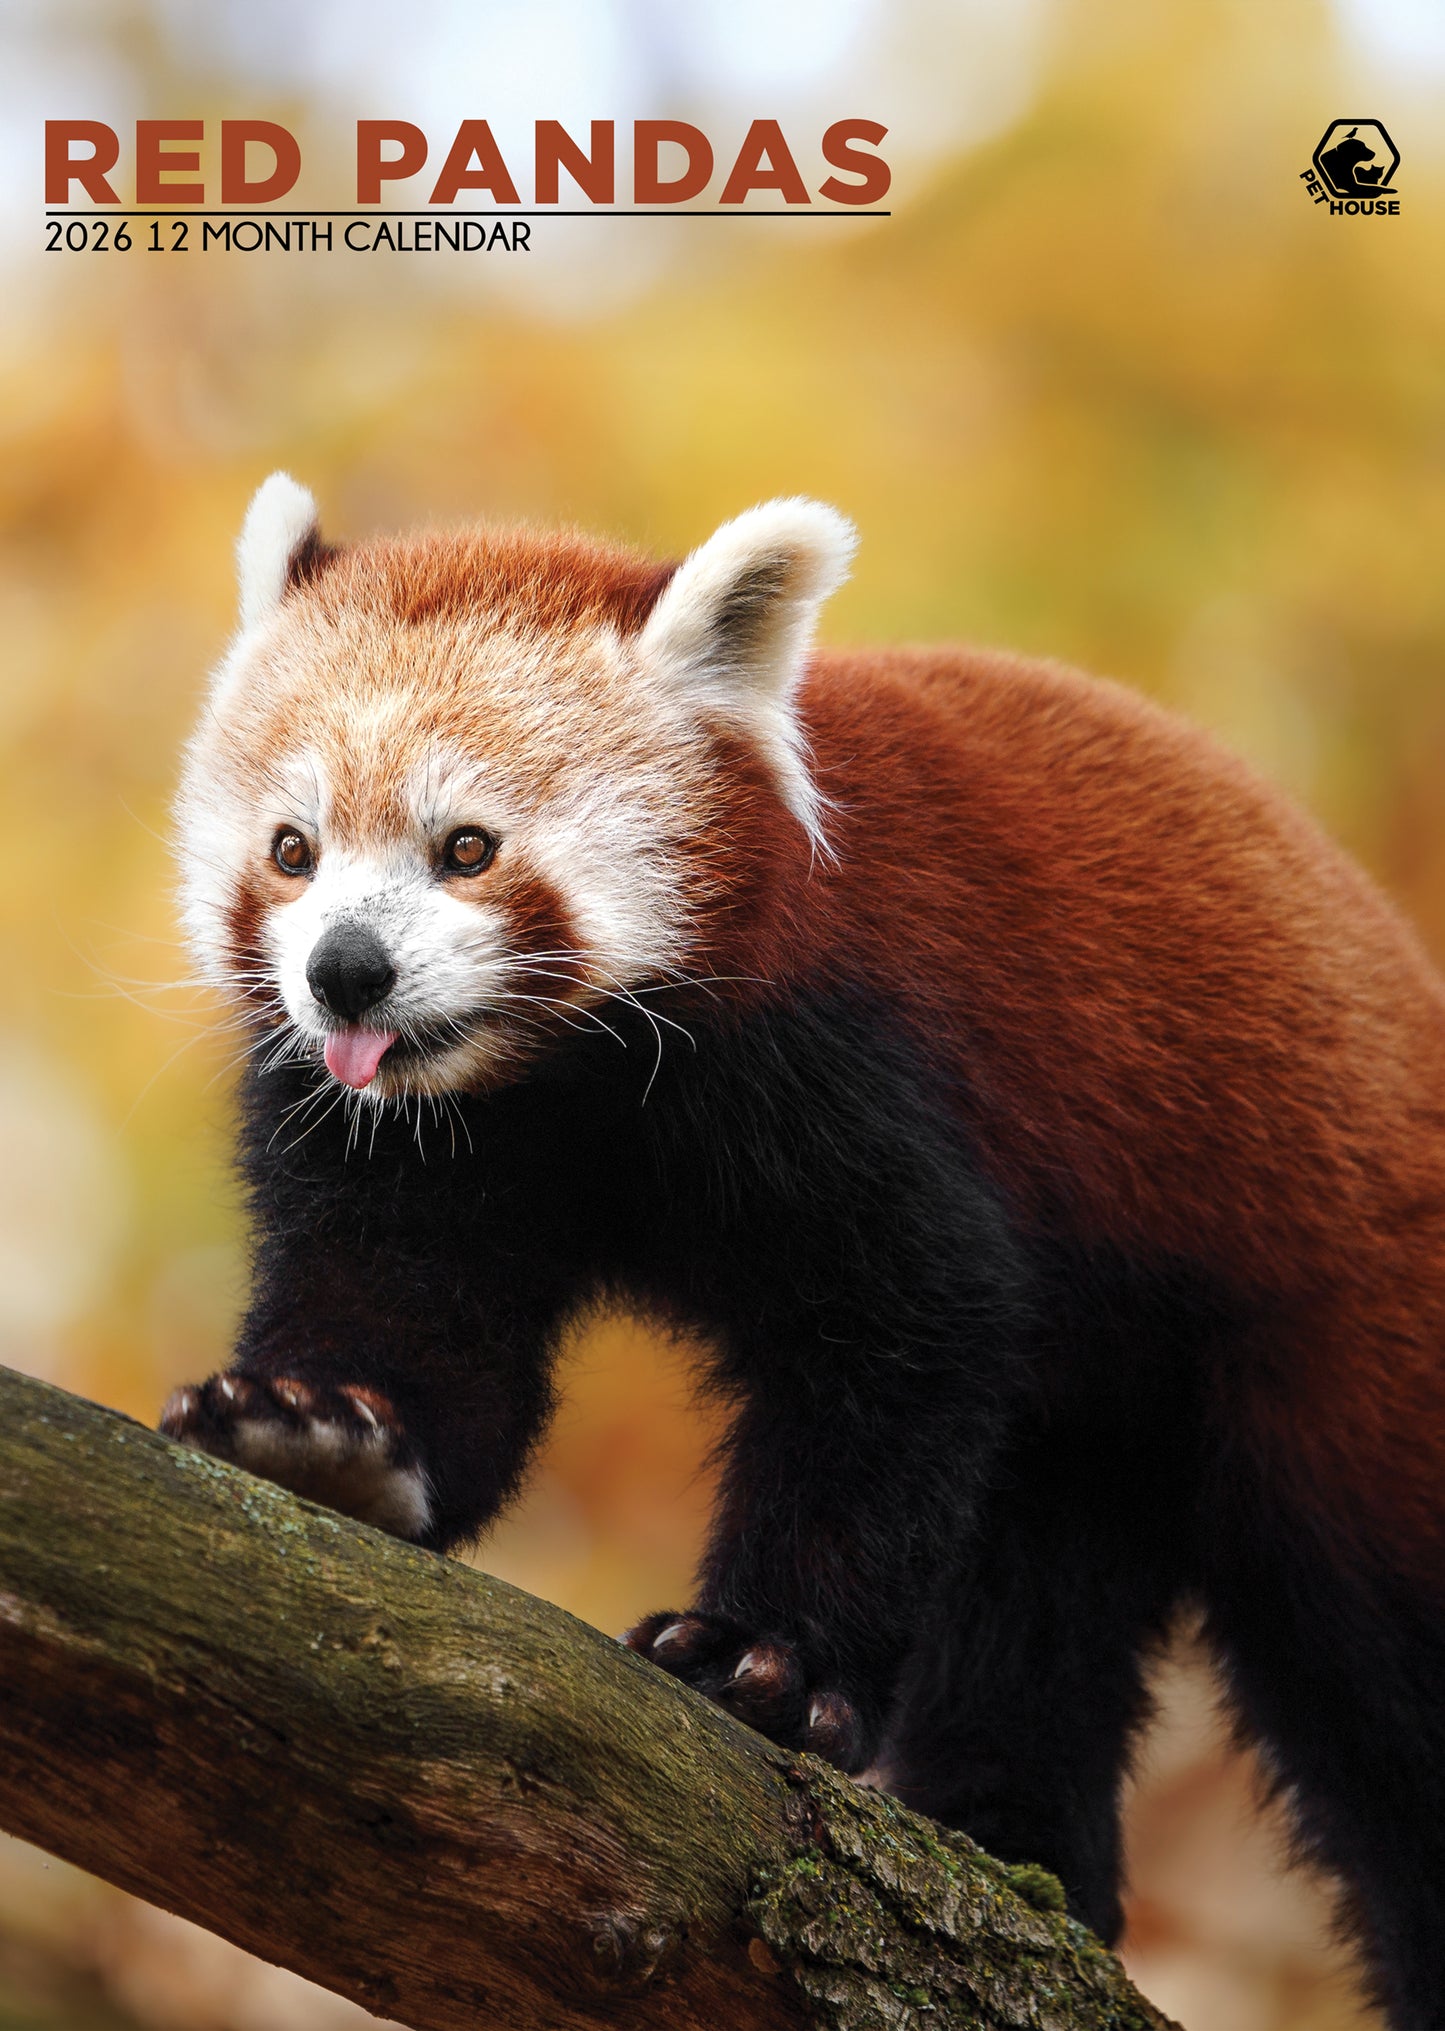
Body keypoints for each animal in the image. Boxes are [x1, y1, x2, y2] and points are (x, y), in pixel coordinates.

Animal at [163, 472, 1445, 2024]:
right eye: (291, 851)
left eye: (465, 846)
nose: (345, 971)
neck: (553, 1081)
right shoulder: (407, 1143)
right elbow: (411, 1328)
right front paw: (317, 1432)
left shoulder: (841, 1061)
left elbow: (904, 1336)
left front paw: (762, 1661)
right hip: (1104, 1416)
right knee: (1039, 1595)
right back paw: (1007, 1839)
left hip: (1346, 1317)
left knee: (1381, 1656)